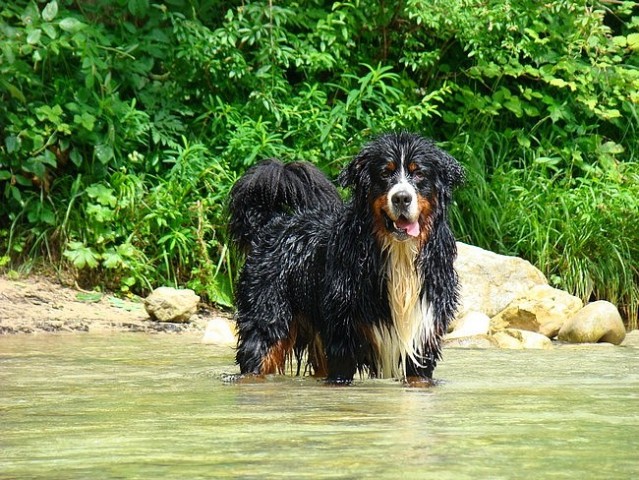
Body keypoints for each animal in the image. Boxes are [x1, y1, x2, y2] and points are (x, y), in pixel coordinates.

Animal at [228, 132, 462, 386]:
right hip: (267, 322)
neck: (398, 253)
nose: (401, 198)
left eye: (419, 173)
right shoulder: (343, 337)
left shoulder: (423, 334)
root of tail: (271, 223)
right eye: (385, 173)